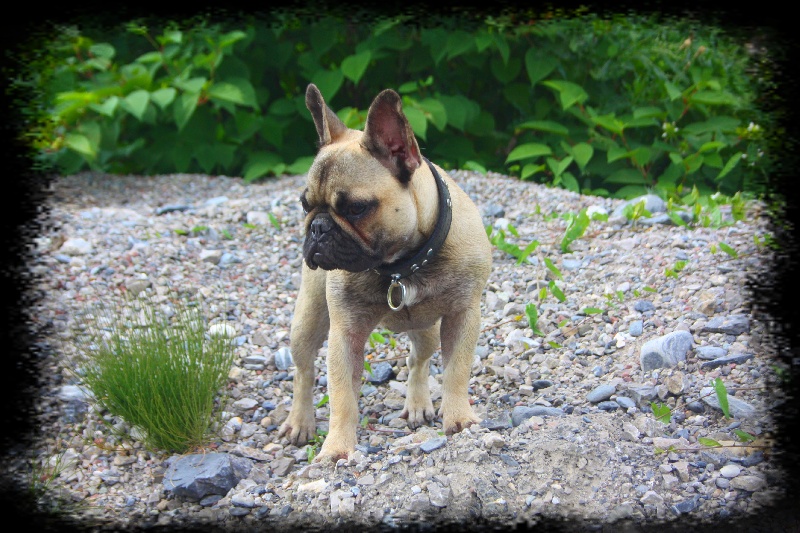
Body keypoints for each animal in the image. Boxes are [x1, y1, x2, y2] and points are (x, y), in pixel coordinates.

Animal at [280, 84, 494, 462]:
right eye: (306, 205)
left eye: (355, 208)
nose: (317, 228)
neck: (400, 267)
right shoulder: (345, 334)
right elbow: (342, 397)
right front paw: (337, 447)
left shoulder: (463, 315)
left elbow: (456, 371)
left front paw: (459, 419)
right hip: (307, 321)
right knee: (303, 371)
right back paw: (299, 421)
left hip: (427, 329)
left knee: (418, 360)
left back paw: (418, 403)